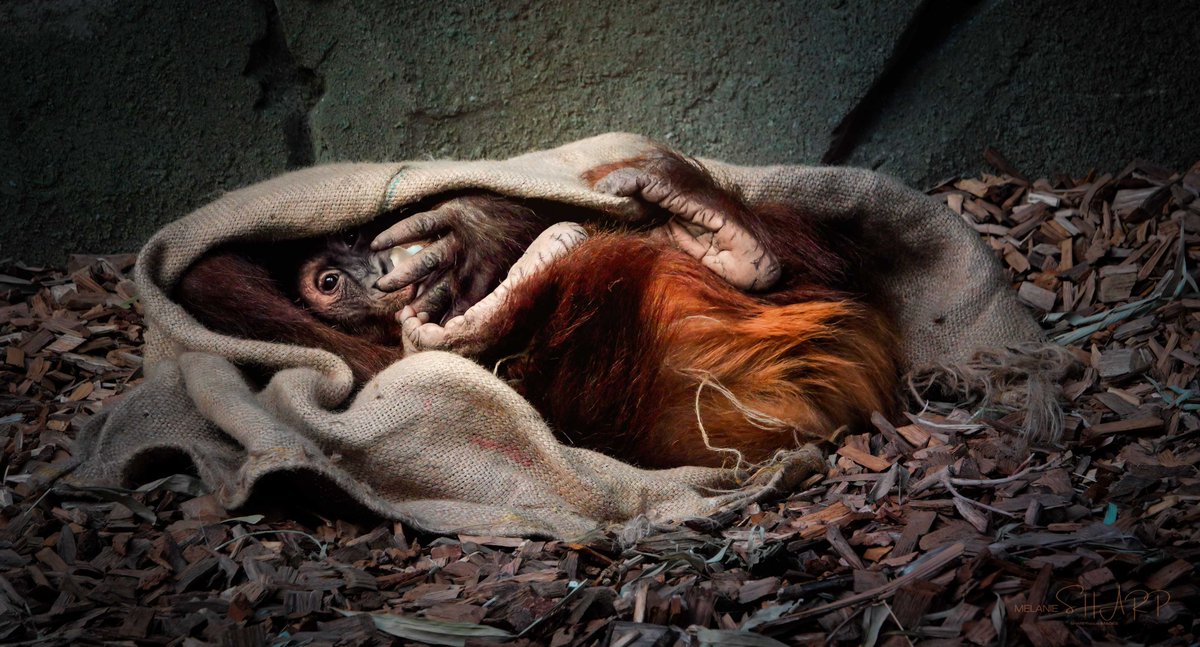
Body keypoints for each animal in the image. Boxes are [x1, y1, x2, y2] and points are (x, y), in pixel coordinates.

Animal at [176, 150, 898, 468]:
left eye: (358, 243)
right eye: (328, 281)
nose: (374, 271)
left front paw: (462, 233)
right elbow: (214, 281)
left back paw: (719, 232)